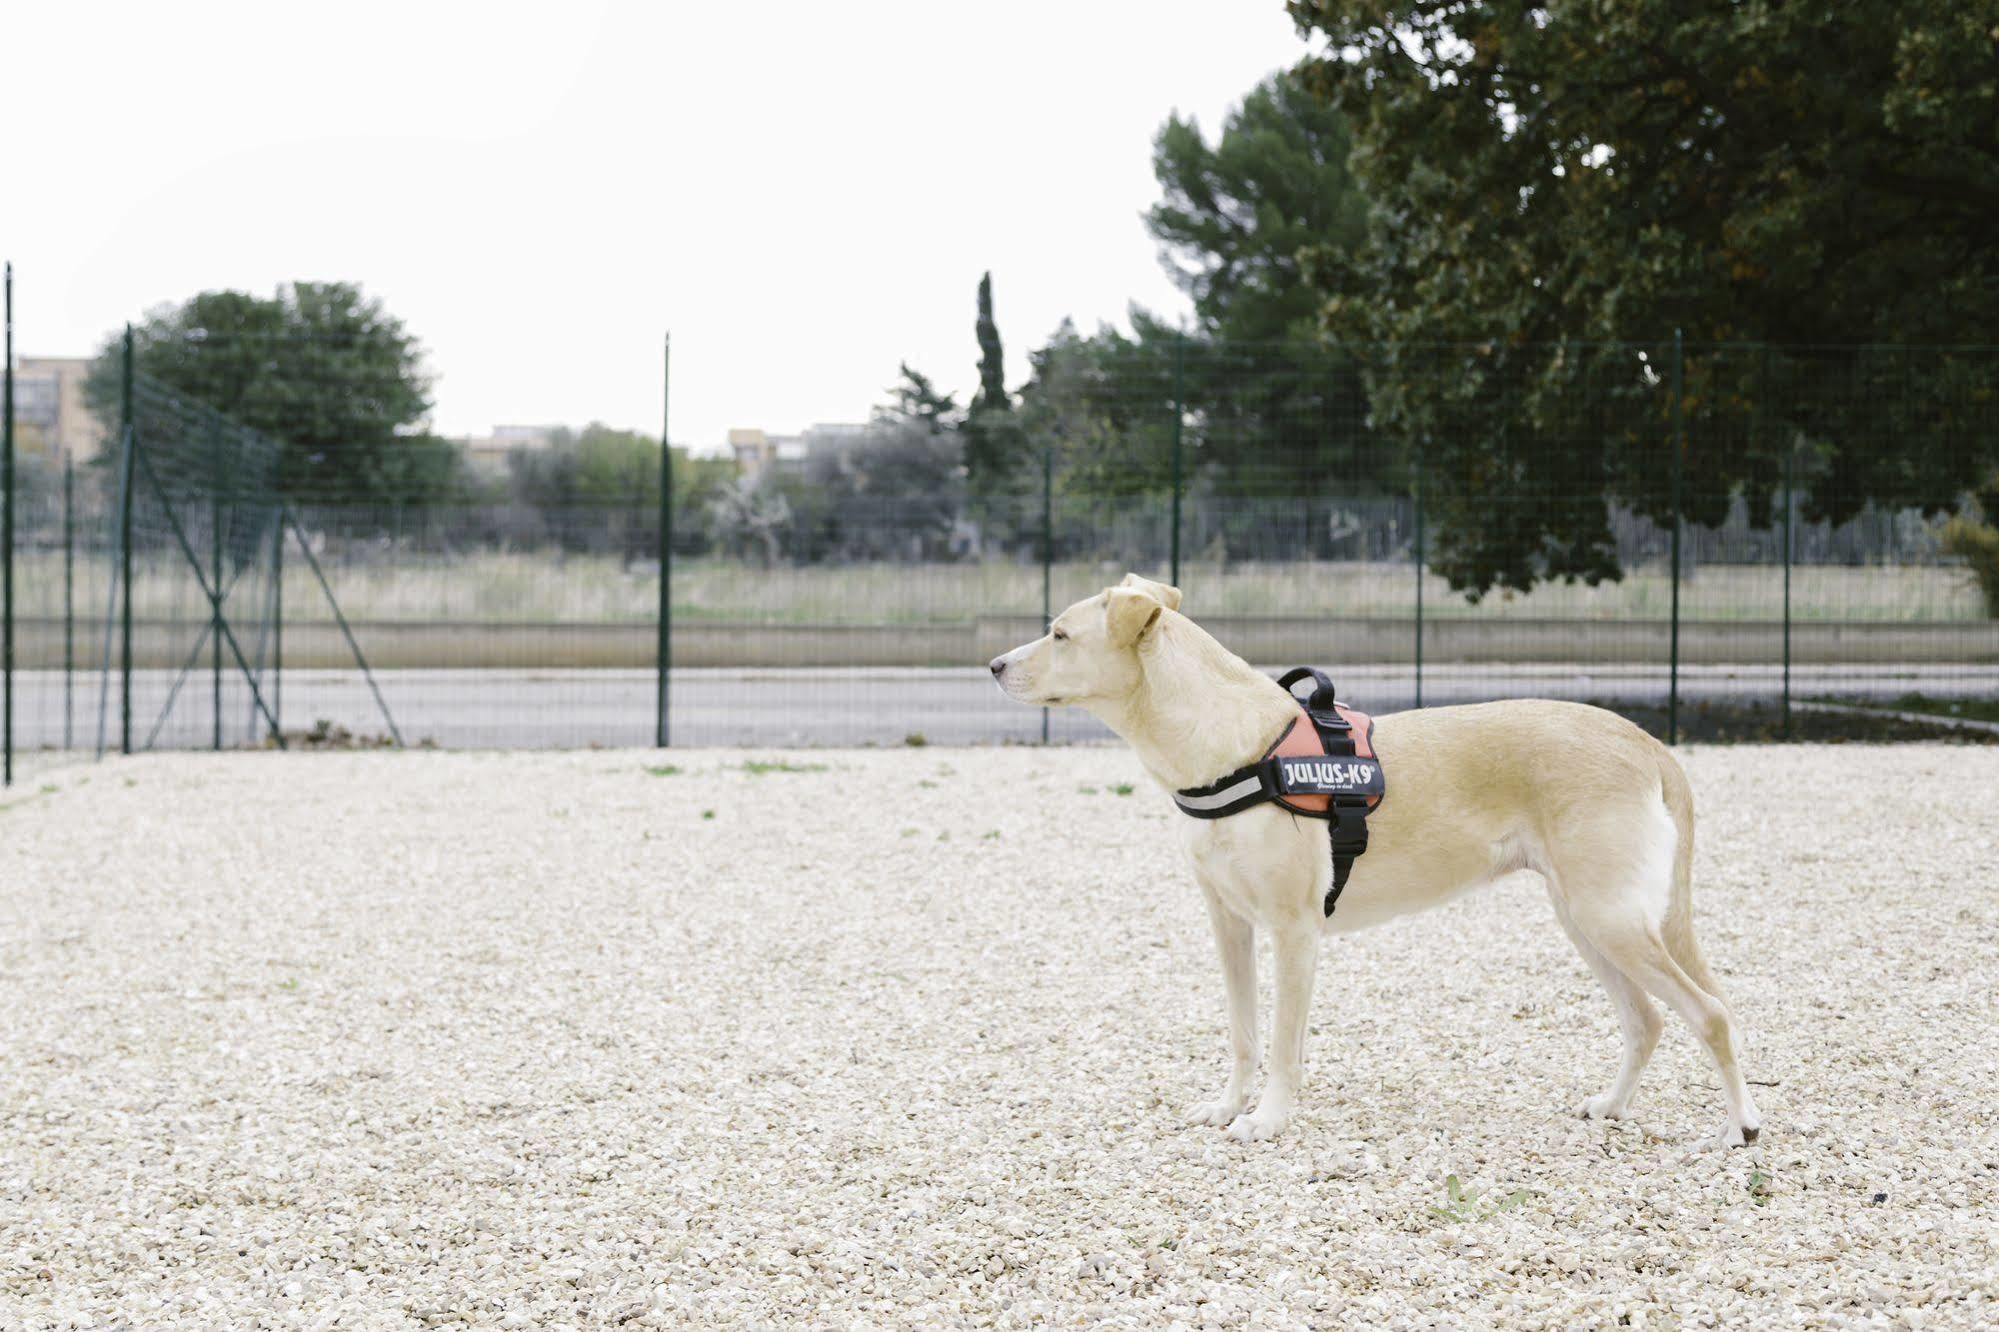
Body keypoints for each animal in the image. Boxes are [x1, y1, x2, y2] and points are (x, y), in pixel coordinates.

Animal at [987, 572, 1767, 1144]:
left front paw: (1267, 1120)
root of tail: (1645, 742)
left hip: (1609, 918)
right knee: (1648, 1020)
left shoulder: (1294, 930)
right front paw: (1228, 1106)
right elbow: (1242, 1033)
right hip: (1586, 919)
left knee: (1710, 1013)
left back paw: (1740, 1128)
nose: (993, 665)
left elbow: (1282, 1041)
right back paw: (1610, 1107)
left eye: (1060, 634)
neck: (1235, 747)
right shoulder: (1228, 924)